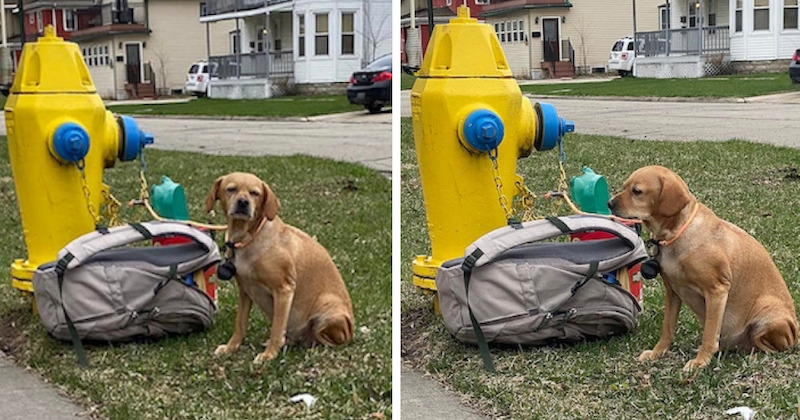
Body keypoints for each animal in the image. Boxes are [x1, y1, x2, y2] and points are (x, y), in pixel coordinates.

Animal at [206, 172, 354, 362]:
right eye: (231, 189)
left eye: (255, 193)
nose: (243, 202)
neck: (248, 239)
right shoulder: (245, 291)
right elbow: (240, 324)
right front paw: (231, 347)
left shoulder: (284, 290)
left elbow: (276, 329)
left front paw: (269, 355)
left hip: (328, 311)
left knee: (323, 338)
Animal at [608, 166, 796, 370]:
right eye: (624, 186)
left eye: (637, 191)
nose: (609, 203)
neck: (676, 233)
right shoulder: (672, 292)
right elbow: (667, 329)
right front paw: (657, 353)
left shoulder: (717, 291)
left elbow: (709, 334)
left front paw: (700, 361)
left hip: (768, 315)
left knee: (770, 346)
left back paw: (752, 356)